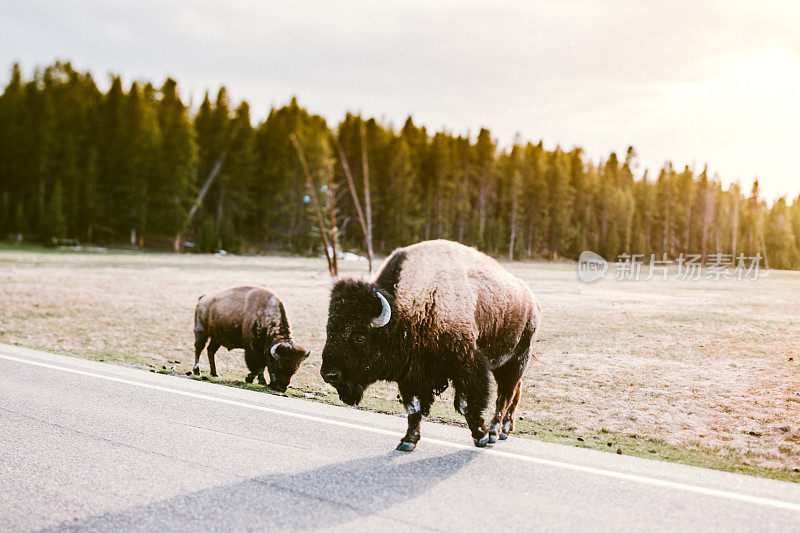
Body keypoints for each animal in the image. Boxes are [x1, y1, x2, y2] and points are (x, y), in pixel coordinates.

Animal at [322, 239, 540, 450]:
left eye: (360, 337)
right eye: (329, 330)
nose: (329, 374)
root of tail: (532, 301)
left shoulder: (467, 366)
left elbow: (466, 404)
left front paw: (481, 437)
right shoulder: (411, 374)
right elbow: (414, 407)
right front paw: (408, 441)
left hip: (517, 360)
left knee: (504, 396)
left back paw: (495, 432)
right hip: (504, 365)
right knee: (515, 392)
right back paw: (505, 431)